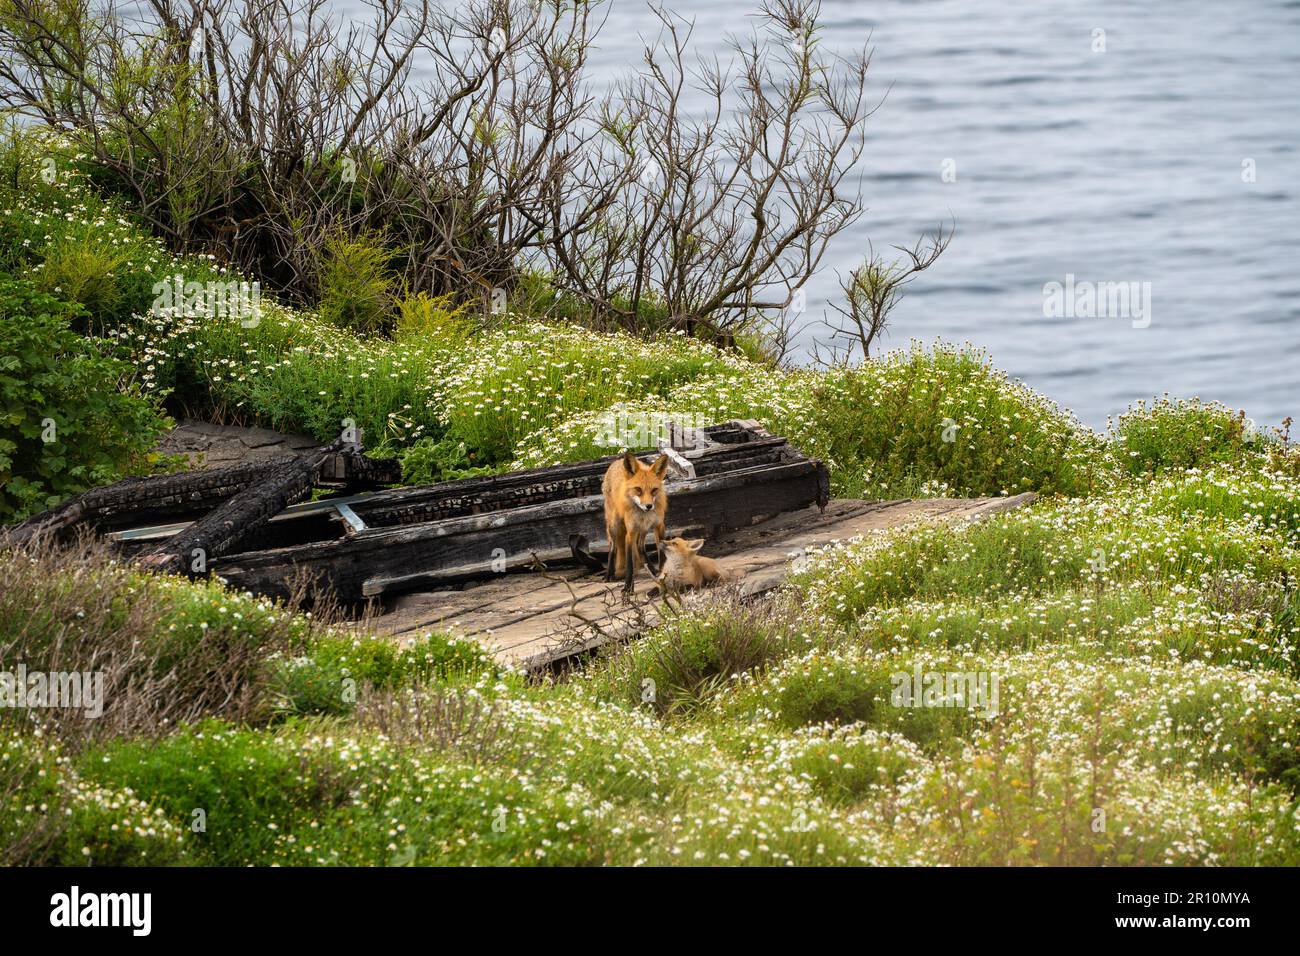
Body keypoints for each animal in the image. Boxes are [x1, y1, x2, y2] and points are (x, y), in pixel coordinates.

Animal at [603, 452, 670, 595]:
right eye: (638, 489)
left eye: (654, 490)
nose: (649, 506)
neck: (644, 515)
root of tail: (617, 461)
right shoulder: (630, 532)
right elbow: (629, 564)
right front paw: (628, 587)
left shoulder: (659, 527)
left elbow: (662, 556)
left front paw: (662, 577)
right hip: (615, 525)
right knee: (613, 547)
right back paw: (608, 574)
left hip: (643, 530)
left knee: (640, 547)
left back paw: (654, 571)